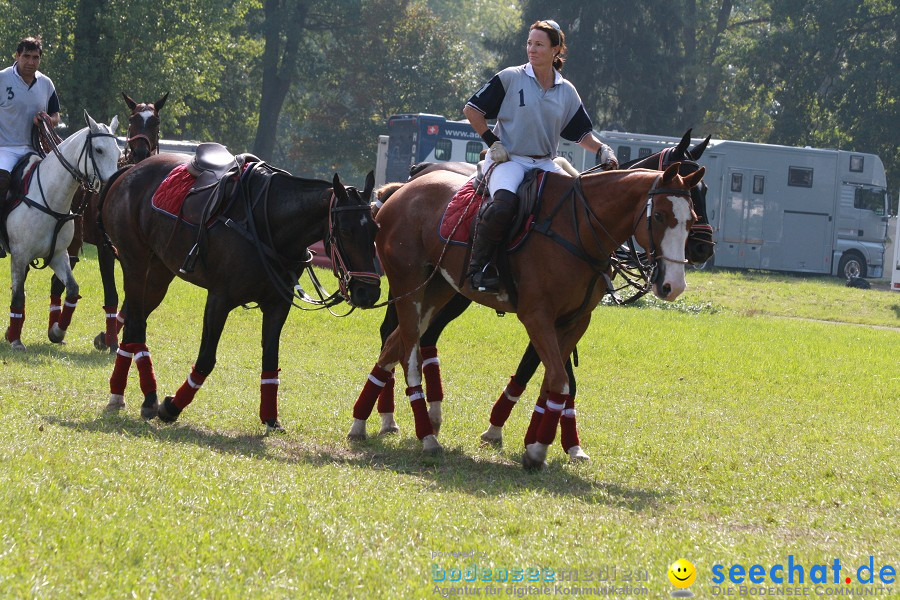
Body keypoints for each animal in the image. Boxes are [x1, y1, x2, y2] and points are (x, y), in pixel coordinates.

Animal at [48, 92, 169, 352]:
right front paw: (111, 339)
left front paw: (107, 335)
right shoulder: (106, 248)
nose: (140, 151)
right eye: (133, 119)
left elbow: (135, 297)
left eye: (155, 121)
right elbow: (112, 294)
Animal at [100, 152, 382, 428]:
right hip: (135, 263)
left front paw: (270, 417)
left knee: (134, 325)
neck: (270, 225)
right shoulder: (219, 300)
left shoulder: (277, 305)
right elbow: (206, 359)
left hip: (159, 272)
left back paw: (126, 394)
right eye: (345, 230)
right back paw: (140, 396)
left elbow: (270, 361)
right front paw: (172, 407)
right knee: (136, 325)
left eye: (375, 229)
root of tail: (131, 169)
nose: (369, 293)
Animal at [370, 131, 712, 462]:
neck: (581, 229)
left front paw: (555, 443)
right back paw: (403, 424)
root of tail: (400, 191)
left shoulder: (575, 319)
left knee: (403, 341)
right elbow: (555, 376)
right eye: (660, 216)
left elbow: (556, 380)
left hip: (441, 288)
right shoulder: (537, 315)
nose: (701, 251)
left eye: (694, 211)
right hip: (415, 286)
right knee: (404, 342)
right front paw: (517, 438)